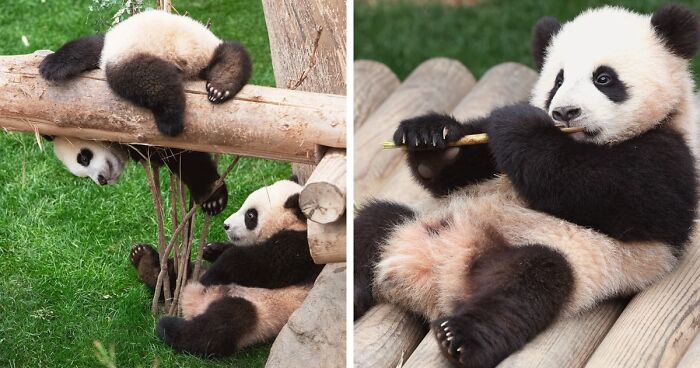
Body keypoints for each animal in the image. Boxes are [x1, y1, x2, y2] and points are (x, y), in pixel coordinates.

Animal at [128, 178, 320, 356]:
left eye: (251, 215)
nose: (226, 225)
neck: (298, 223)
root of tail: (193, 303)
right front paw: (211, 249)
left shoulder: (303, 247)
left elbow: (263, 265)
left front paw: (213, 273)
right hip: (195, 274)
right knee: (181, 275)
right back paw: (144, 261)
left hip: (261, 308)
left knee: (222, 325)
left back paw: (168, 327)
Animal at [356, 3, 700, 368]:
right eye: (558, 80)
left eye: (603, 78)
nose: (564, 112)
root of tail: (429, 281)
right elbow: (460, 171)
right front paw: (430, 135)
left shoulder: (671, 158)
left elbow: (614, 193)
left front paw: (517, 124)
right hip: (414, 223)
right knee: (372, 223)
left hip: (563, 260)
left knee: (529, 283)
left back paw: (460, 337)